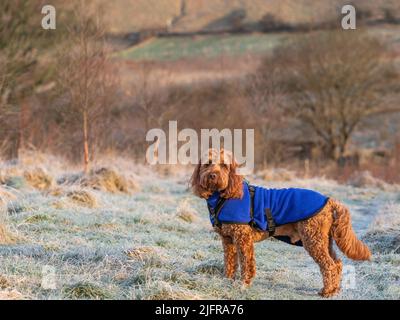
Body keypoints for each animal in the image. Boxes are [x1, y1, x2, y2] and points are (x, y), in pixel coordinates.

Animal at [191, 149, 372, 298]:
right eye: (207, 163)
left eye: (224, 165)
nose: (212, 175)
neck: (223, 196)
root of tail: (329, 201)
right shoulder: (228, 240)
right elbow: (229, 262)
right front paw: (227, 281)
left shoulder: (243, 239)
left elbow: (247, 264)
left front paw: (244, 285)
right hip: (324, 240)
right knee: (337, 263)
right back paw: (335, 289)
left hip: (313, 239)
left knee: (329, 265)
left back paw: (327, 292)